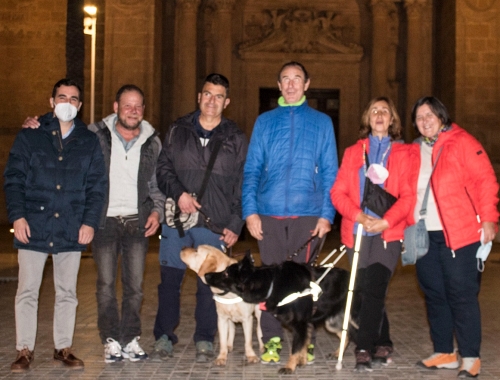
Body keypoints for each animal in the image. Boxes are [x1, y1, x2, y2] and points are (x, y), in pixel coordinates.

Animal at [205, 252, 358, 374]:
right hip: (331, 323)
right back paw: (337, 354)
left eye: (226, 273)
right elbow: (303, 345)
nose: (206, 275)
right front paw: (301, 361)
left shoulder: (300, 325)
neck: (272, 284)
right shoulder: (306, 325)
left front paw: (290, 367)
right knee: (347, 335)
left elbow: (295, 348)